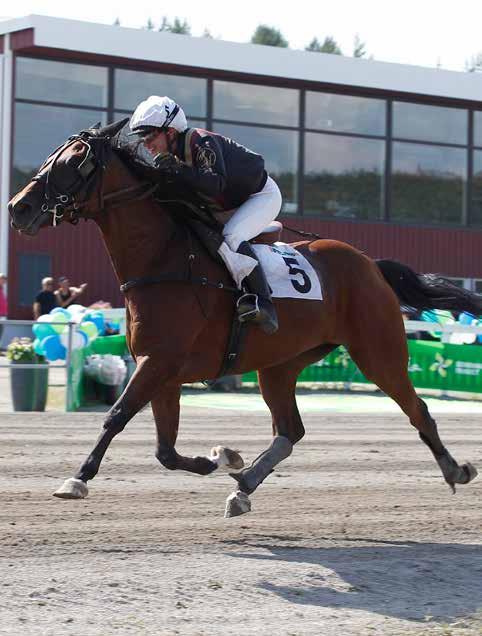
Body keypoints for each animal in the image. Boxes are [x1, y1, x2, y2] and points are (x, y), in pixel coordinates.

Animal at [6, 119, 478, 516]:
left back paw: (455, 469)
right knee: (290, 430)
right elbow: (165, 450)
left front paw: (78, 478)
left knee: (418, 409)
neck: (163, 260)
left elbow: (116, 416)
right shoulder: (162, 369)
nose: (17, 208)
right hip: (281, 365)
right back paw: (244, 484)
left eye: (74, 162)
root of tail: (371, 264)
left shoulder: (159, 363)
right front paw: (220, 458)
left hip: (379, 352)